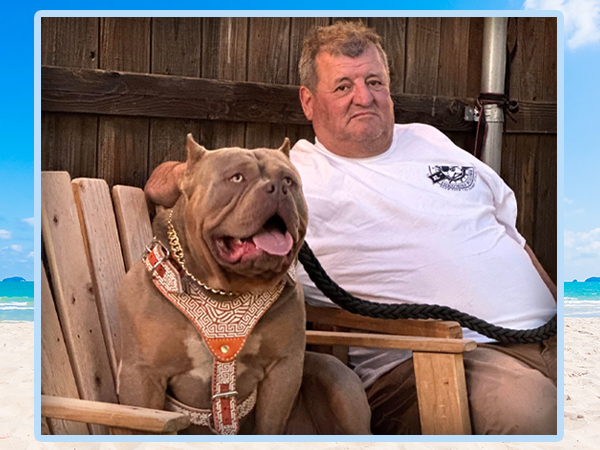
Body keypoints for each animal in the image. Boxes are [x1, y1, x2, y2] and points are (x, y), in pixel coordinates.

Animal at [116, 134, 370, 435]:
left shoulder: (282, 369)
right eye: (237, 178)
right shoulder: (141, 376)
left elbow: (269, 425)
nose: (277, 188)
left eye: (289, 180)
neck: (225, 291)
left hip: (339, 380)